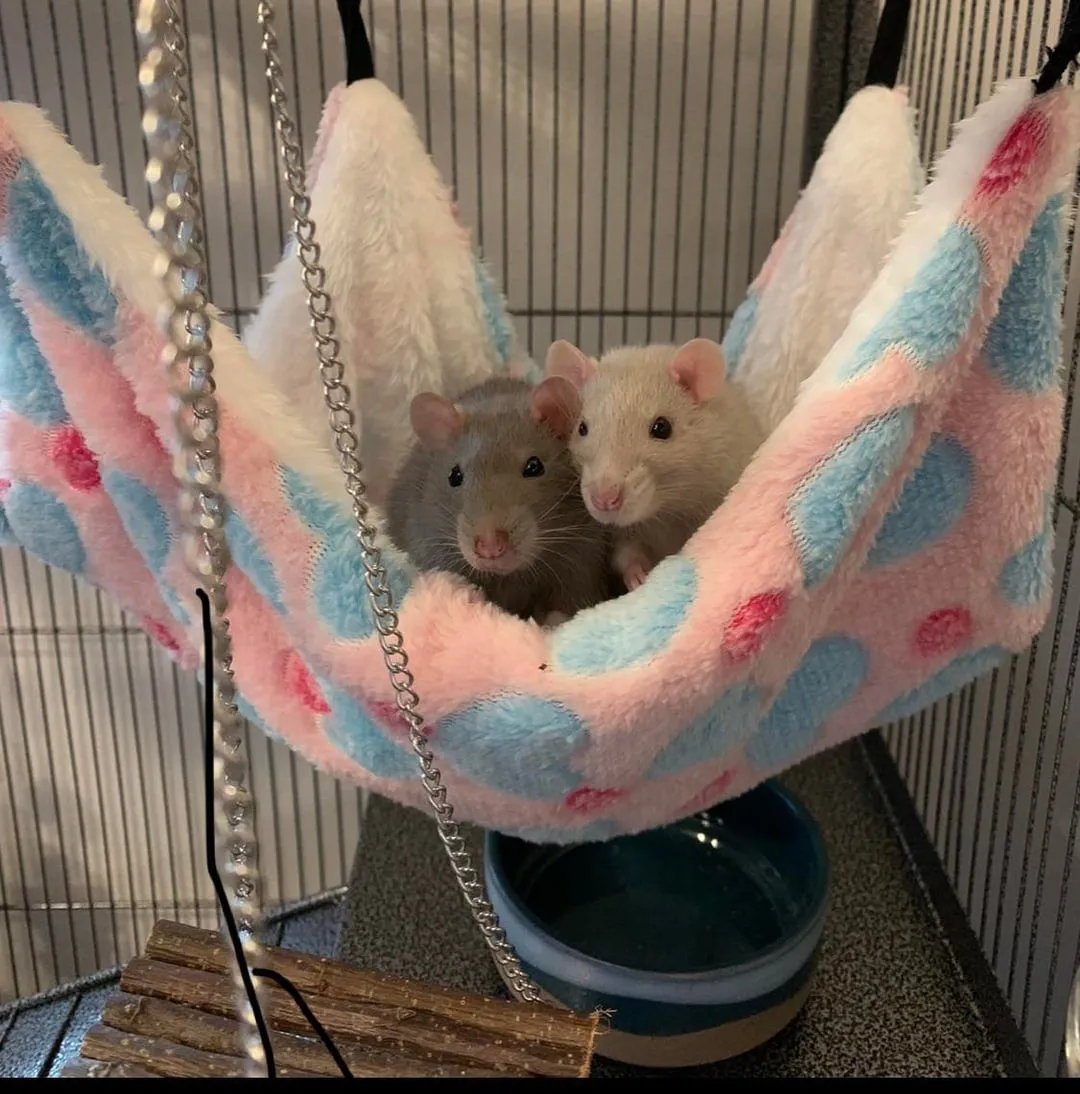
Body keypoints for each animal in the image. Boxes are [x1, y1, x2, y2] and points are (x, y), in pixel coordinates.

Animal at [386, 375, 612, 624]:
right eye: (454, 476)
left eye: (534, 467)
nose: (490, 546)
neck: (511, 575)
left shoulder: (581, 554)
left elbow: (574, 602)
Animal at [546, 338, 764, 591]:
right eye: (582, 428)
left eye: (662, 427)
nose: (604, 499)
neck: (665, 512)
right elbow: (625, 551)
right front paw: (636, 574)